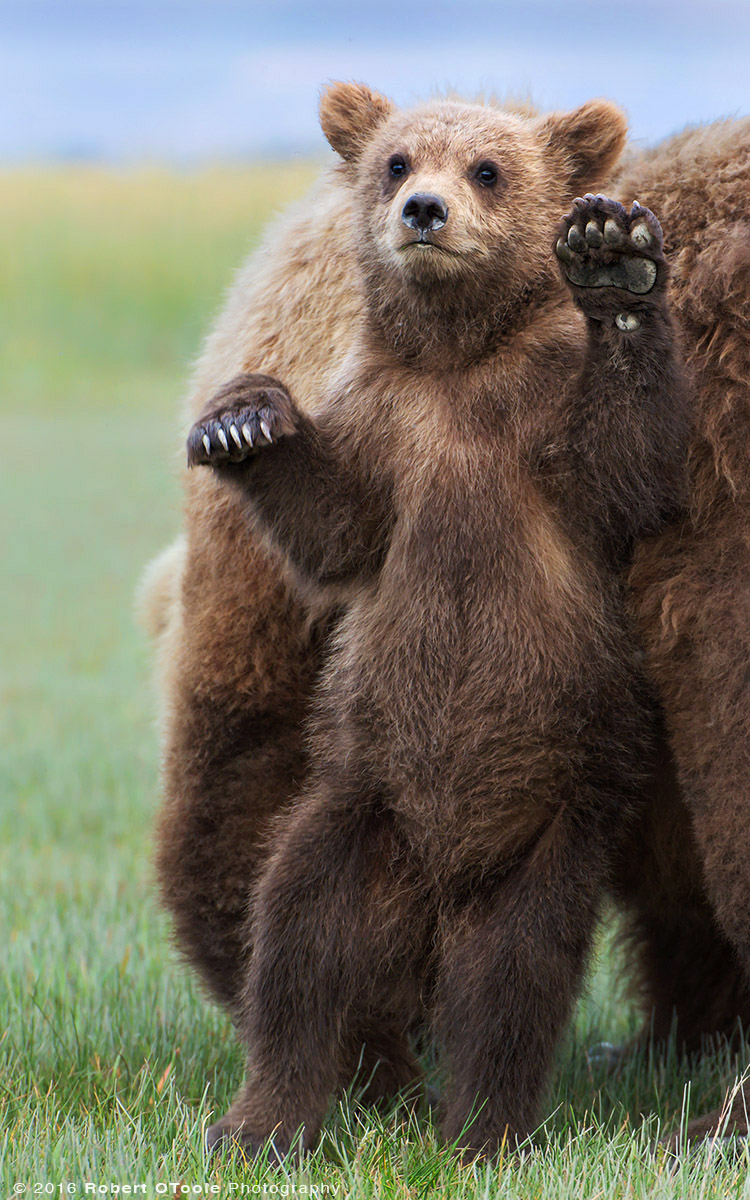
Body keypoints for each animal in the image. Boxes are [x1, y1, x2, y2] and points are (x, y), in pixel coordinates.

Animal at [146, 91, 748, 1142]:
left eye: (489, 172)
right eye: (396, 165)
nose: (422, 207)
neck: (460, 363)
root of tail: (445, 866)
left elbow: (624, 460)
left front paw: (618, 267)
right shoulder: (373, 435)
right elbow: (338, 526)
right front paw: (246, 421)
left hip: (547, 823)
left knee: (514, 965)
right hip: (364, 808)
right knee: (308, 919)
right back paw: (283, 1113)